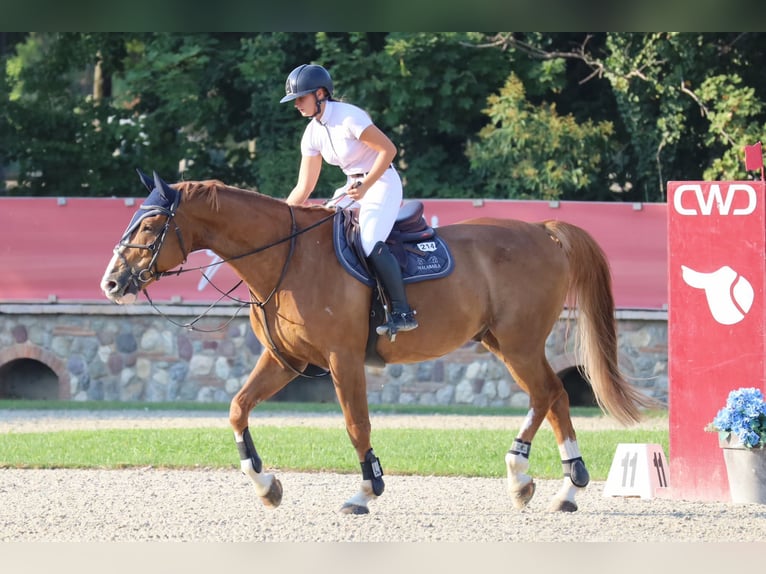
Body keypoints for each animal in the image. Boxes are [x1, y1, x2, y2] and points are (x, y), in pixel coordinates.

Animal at [100, 171, 657, 514]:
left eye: (150, 224)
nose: (110, 282)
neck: (287, 258)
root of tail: (543, 230)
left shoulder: (342, 359)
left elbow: (356, 424)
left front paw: (366, 491)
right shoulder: (284, 360)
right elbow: (238, 409)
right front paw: (267, 486)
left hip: (518, 342)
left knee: (548, 393)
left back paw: (527, 476)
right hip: (503, 342)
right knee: (555, 396)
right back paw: (562, 488)